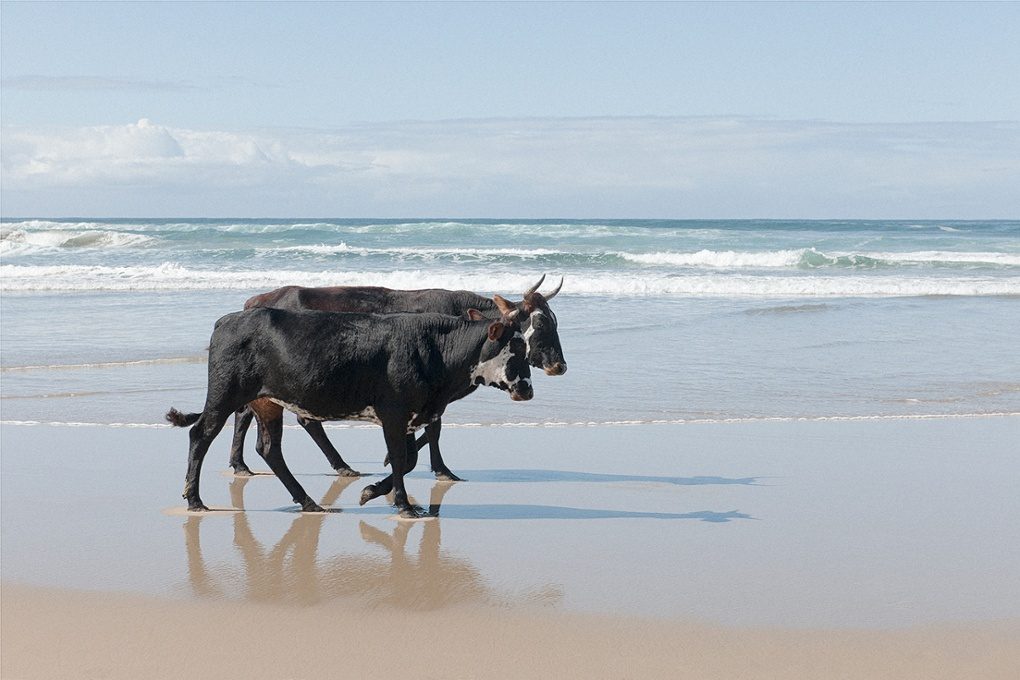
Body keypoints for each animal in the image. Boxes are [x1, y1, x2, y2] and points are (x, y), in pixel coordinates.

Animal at [166, 305, 532, 518]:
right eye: (514, 348)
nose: (527, 389)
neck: (437, 350)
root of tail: (227, 319)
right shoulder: (393, 412)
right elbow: (400, 458)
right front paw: (403, 506)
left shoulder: (413, 417)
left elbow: (409, 460)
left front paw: (373, 492)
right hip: (224, 395)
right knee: (200, 434)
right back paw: (194, 500)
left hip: (266, 402)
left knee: (270, 450)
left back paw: (309, 502)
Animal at [228, 276, 565, 482]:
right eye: (540, 323)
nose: (559, 366)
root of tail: (257, 300)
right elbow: (433, 431)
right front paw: (428, 466)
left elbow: (430, 429)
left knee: (248, 412)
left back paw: (241, 464)